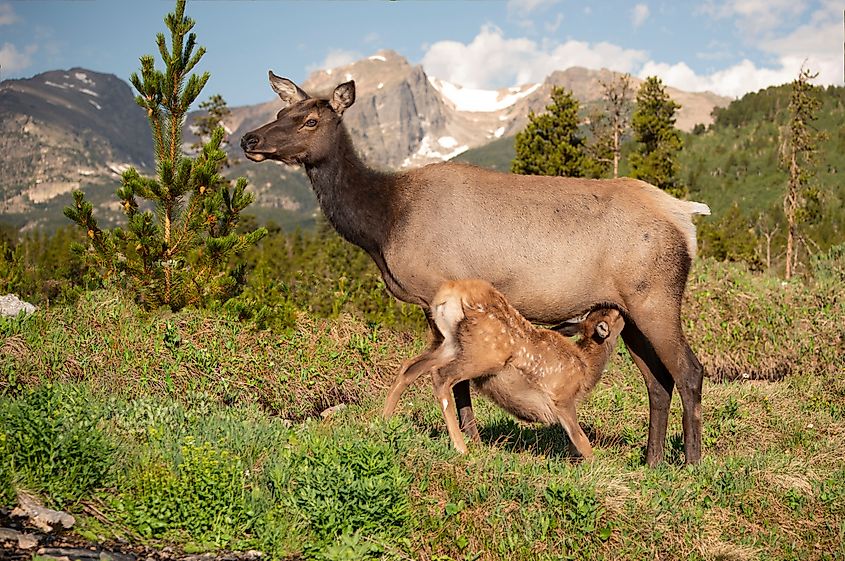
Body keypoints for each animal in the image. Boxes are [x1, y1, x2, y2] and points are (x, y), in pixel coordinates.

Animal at [383, 278, 625, 457]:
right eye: (612, 315)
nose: (619, 307)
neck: (586, 368)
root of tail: (451, 293)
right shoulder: (562, 399)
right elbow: (584, 445)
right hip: (486, 352)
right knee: (442, 377)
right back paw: (461, 448)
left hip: (450, 343)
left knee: (410, 367)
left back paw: (383, 419)